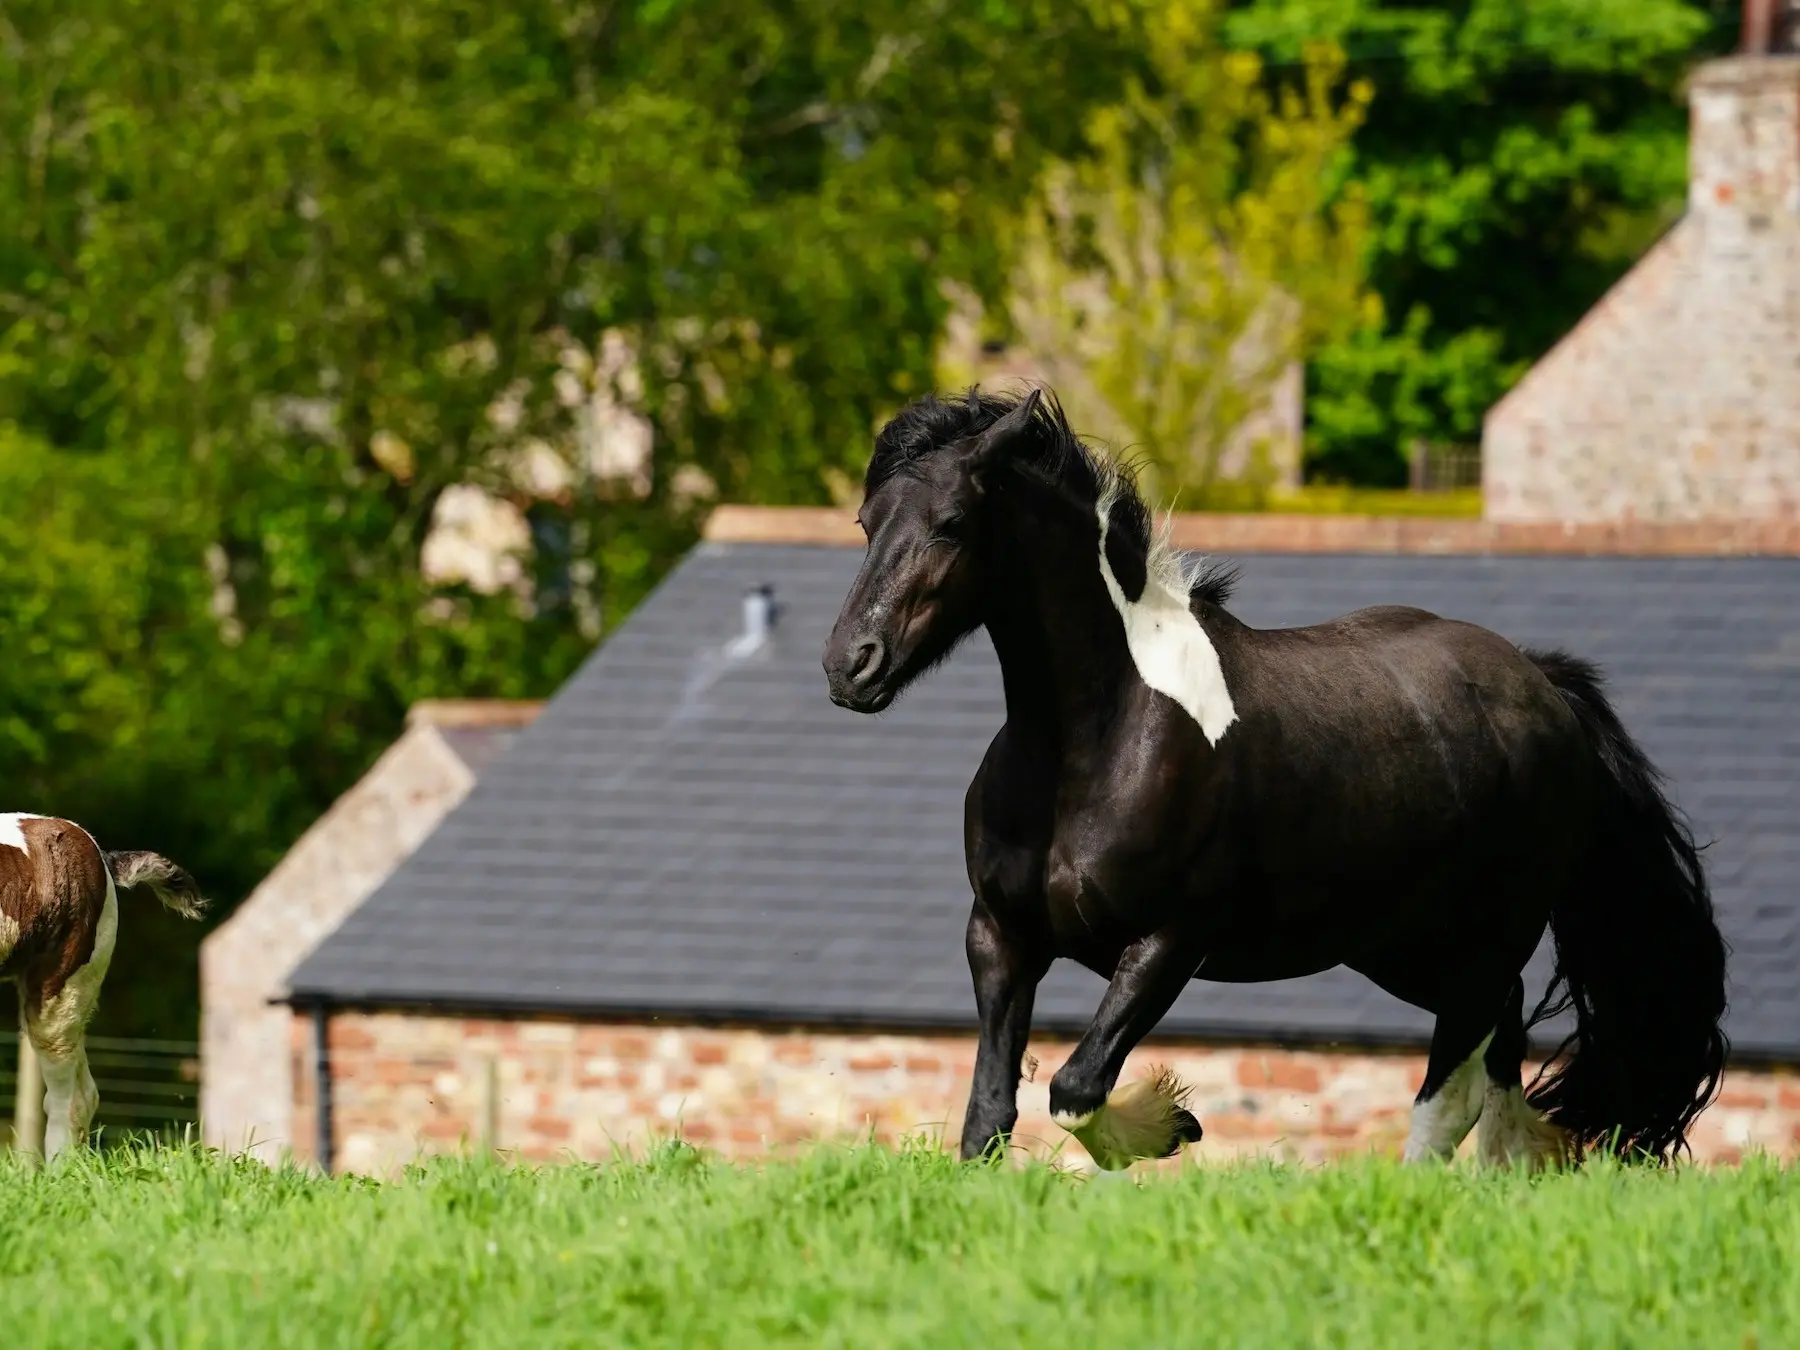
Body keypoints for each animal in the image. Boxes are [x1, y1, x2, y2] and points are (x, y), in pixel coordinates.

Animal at [824, 385, 1728, 1166]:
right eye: (867, 521)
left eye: (951, 522)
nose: (849, 664)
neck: (1092, 742)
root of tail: (1543, 686)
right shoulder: (1001, 937)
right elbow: (989, 1114)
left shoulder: (1169, 941)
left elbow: (1077, 1088)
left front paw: (1169, 1125)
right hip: (1400, 945)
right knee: (1500, 1050)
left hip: (1488, 931)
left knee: (1451, 1087)